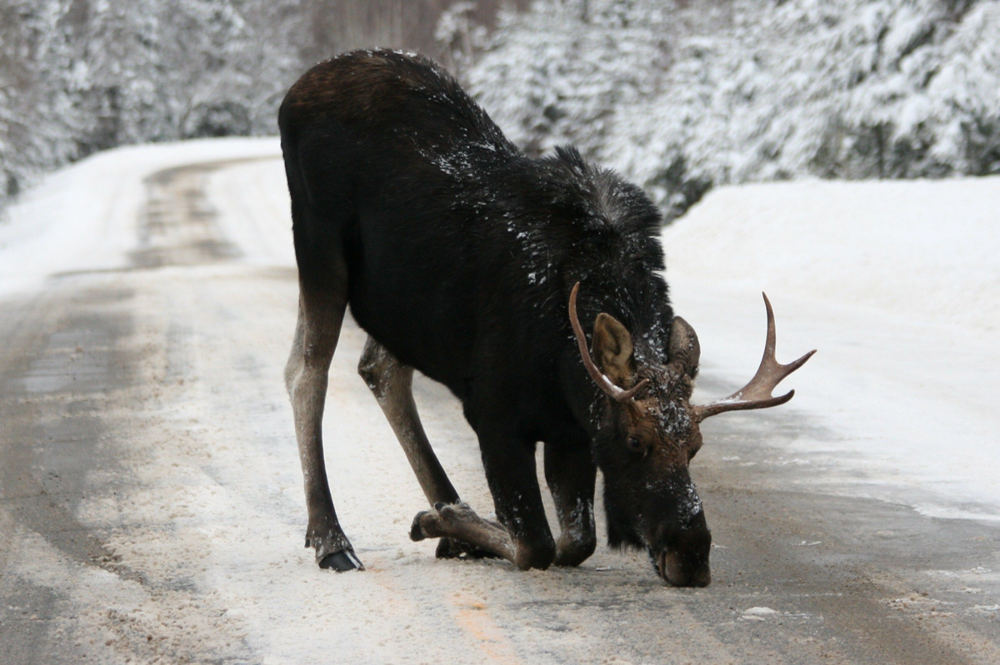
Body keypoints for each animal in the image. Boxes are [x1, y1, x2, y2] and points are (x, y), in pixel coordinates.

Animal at [276, 49, 812, 584]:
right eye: (634, 441)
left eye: (696, 445)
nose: (693, 555)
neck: (562, 358)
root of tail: (294, 93)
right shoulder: (493, 415)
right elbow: (535, 544)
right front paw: (442, 519)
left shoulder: (569, 432)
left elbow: (576, 540)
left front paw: (451, 521)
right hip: (321, 252)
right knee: (307, 371)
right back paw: (333, 539)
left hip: (399, 307)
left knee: (380, 370)